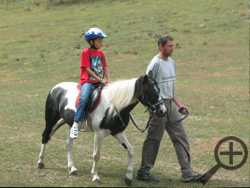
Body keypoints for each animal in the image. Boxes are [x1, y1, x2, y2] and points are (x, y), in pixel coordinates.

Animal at [37, 72, 166, 187]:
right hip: (51, 120)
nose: (163, 111)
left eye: (159, 90)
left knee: (68, 144)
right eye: (151, 92)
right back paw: (40, 163)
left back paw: (72, 168)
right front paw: (95, 177)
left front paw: (128, 177)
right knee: (45, 137)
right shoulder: (99, 134)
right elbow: (96, 155)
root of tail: (55, 88)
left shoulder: (118, 132)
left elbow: (131, 150)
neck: (114, 106)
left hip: (71, 125)